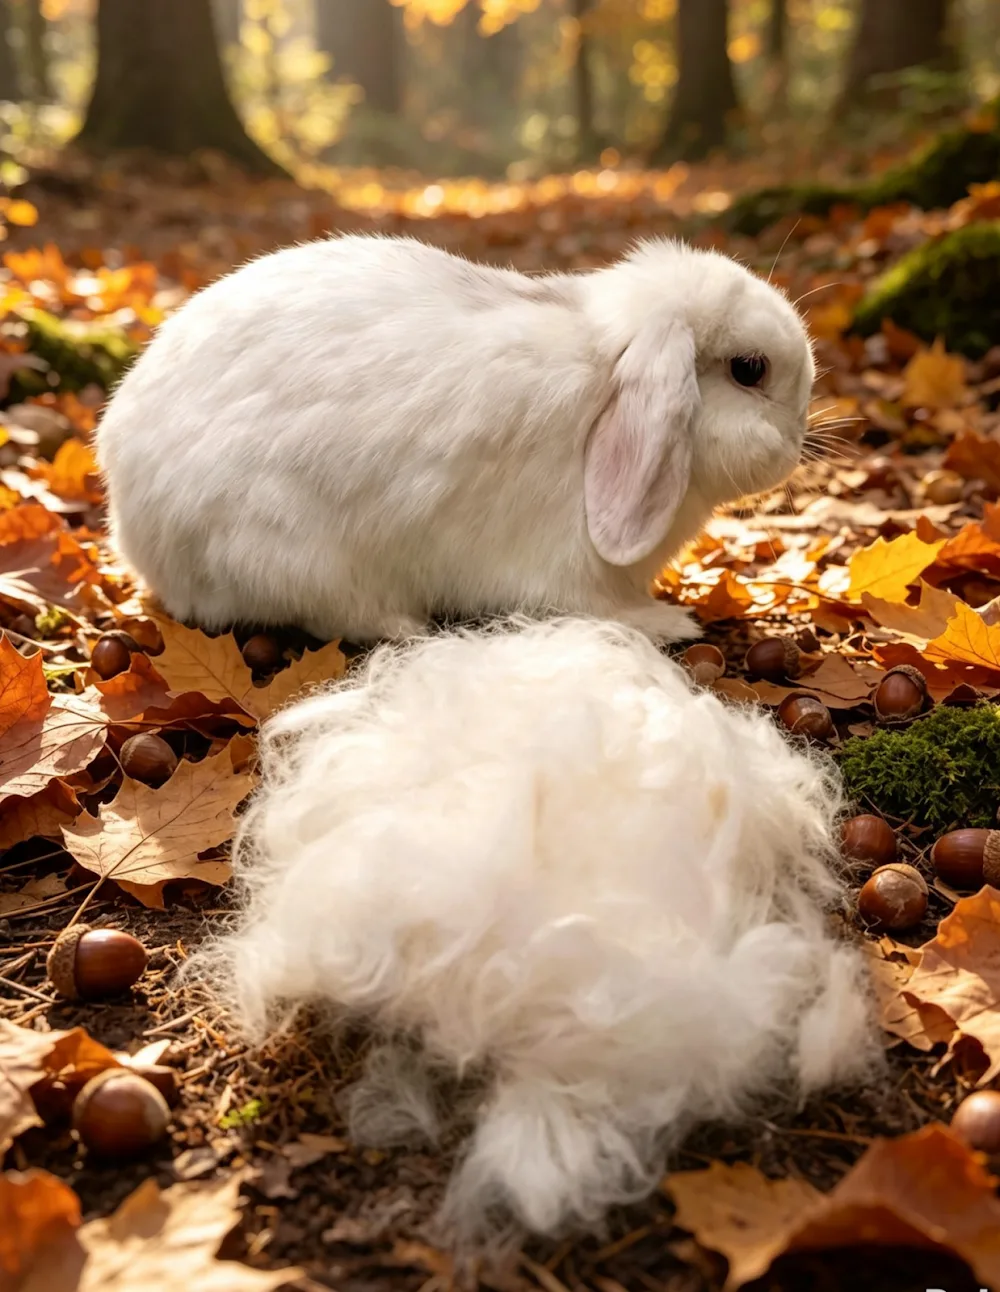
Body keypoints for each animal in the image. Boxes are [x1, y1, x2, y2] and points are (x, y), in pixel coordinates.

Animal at [97, 234, 815, 644]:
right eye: (750, 370)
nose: (798, 442)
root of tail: (132, 525)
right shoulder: (557, 569)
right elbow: (595, 609)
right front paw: (668, 622)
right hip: (293, 556)